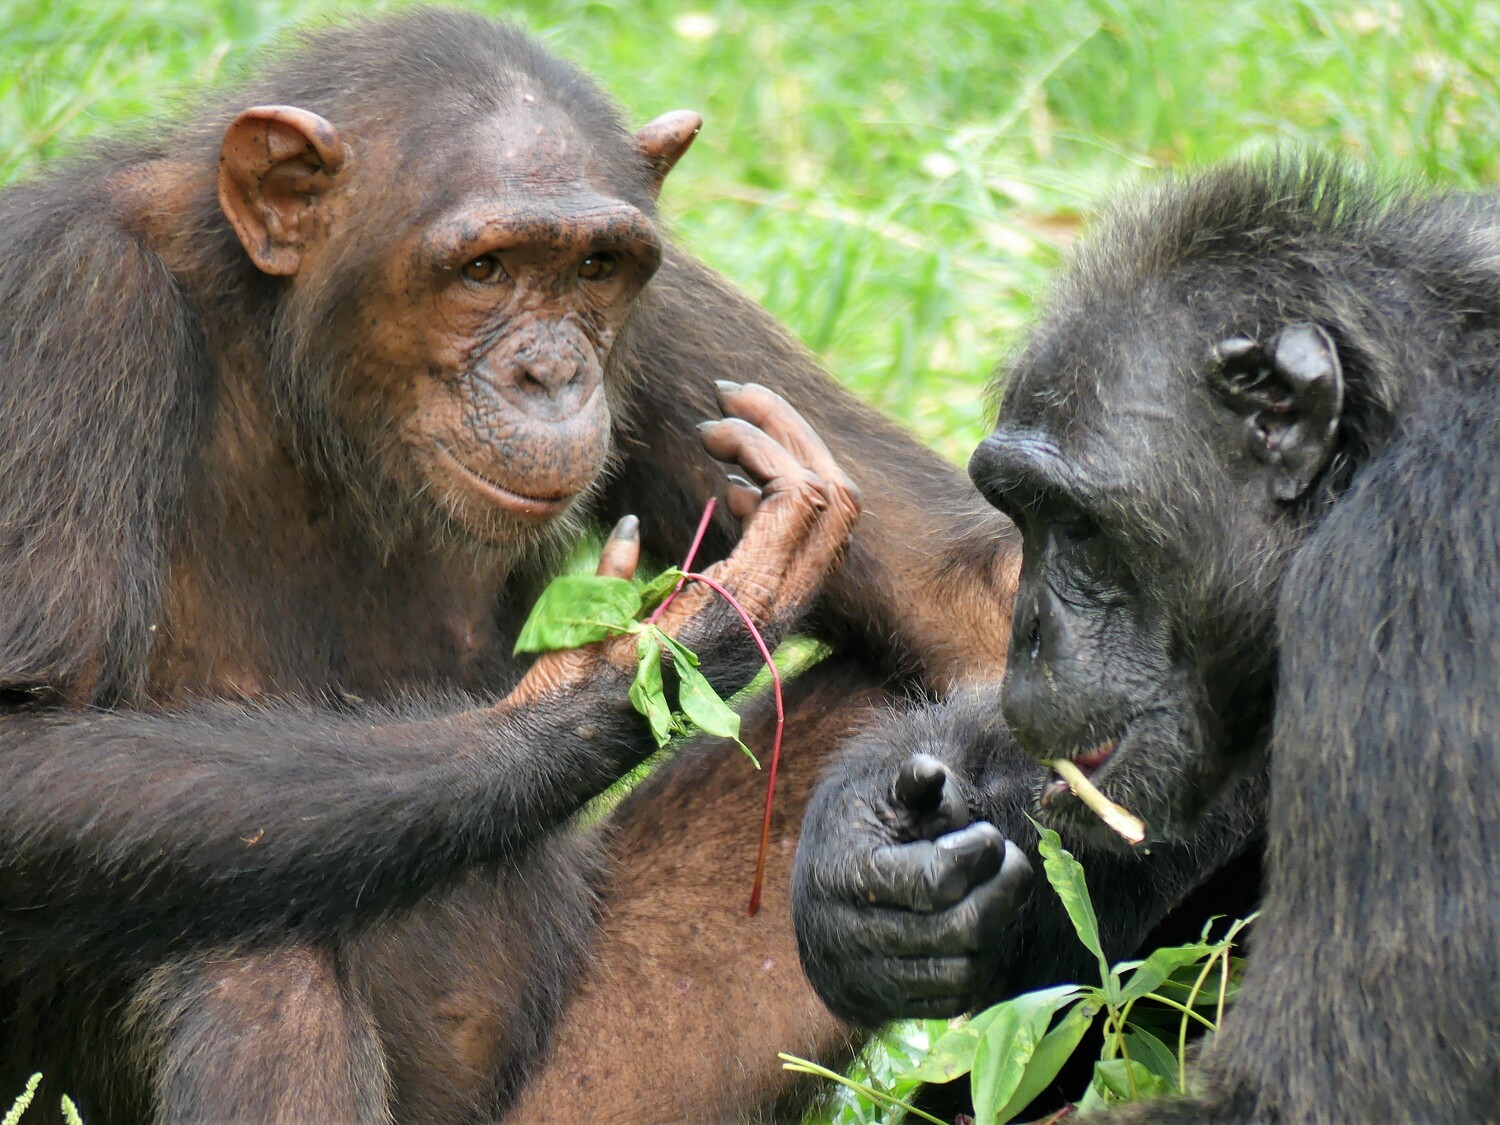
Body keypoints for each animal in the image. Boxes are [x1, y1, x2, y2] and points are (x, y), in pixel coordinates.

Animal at [0, 8, 1032, 1125]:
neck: (293, 362)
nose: (551, 371)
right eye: (485, 270)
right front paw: (622, 671)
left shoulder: (673, 304)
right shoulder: (72, 301)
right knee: (246, 954)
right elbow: (29, 746)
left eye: (594, 269)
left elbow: (970, 589)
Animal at [792, 154, 1494, 1122]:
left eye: (1078, 525)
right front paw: (862, 858)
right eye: (1017, 510)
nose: (1028, 627)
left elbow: (1325, 1093)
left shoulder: (1414, 568)